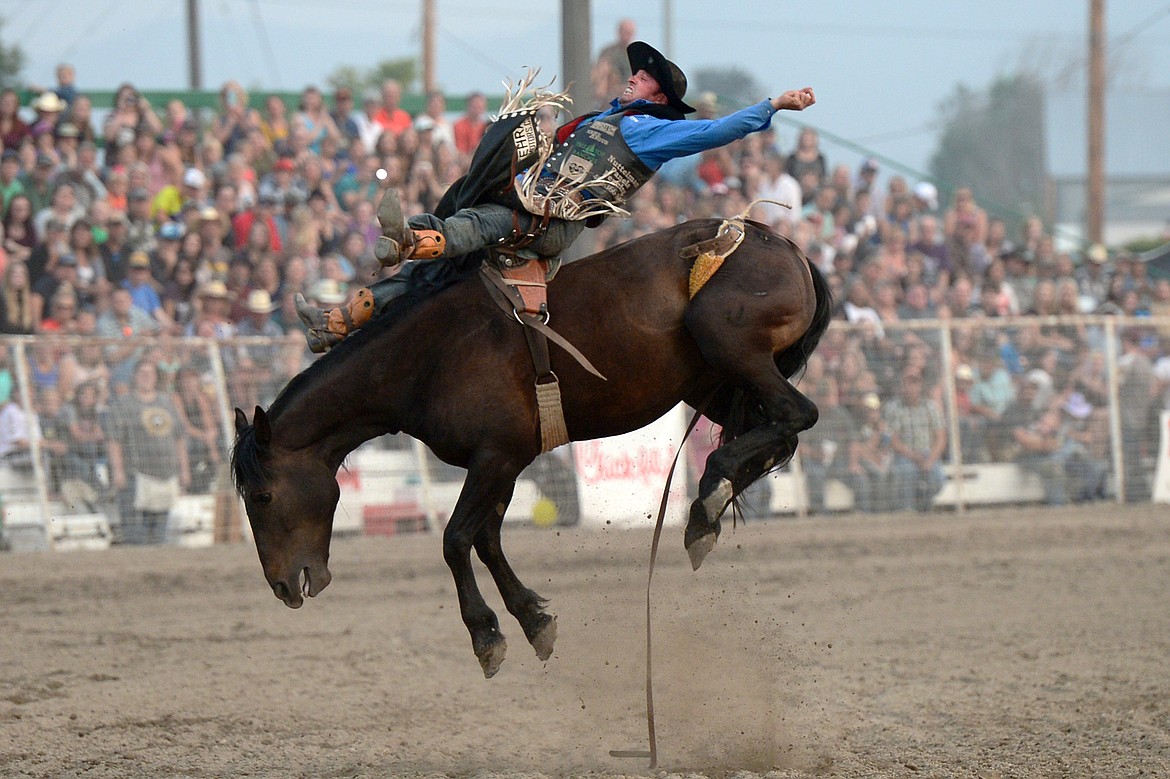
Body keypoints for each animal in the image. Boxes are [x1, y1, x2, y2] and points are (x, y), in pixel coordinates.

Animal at [230, 216, 833, 673]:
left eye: (260, 496)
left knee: (797, 415)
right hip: (714, 383)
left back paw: (707, 501)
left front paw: (486, 636)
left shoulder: (496, 456)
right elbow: (486, 539)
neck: (428, 355)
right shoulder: (505, 461)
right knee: (779, 436)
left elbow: (456, 539)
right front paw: (533, 621)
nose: (282, 586)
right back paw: (709, 506)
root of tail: (780, 243)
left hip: (730, 346)